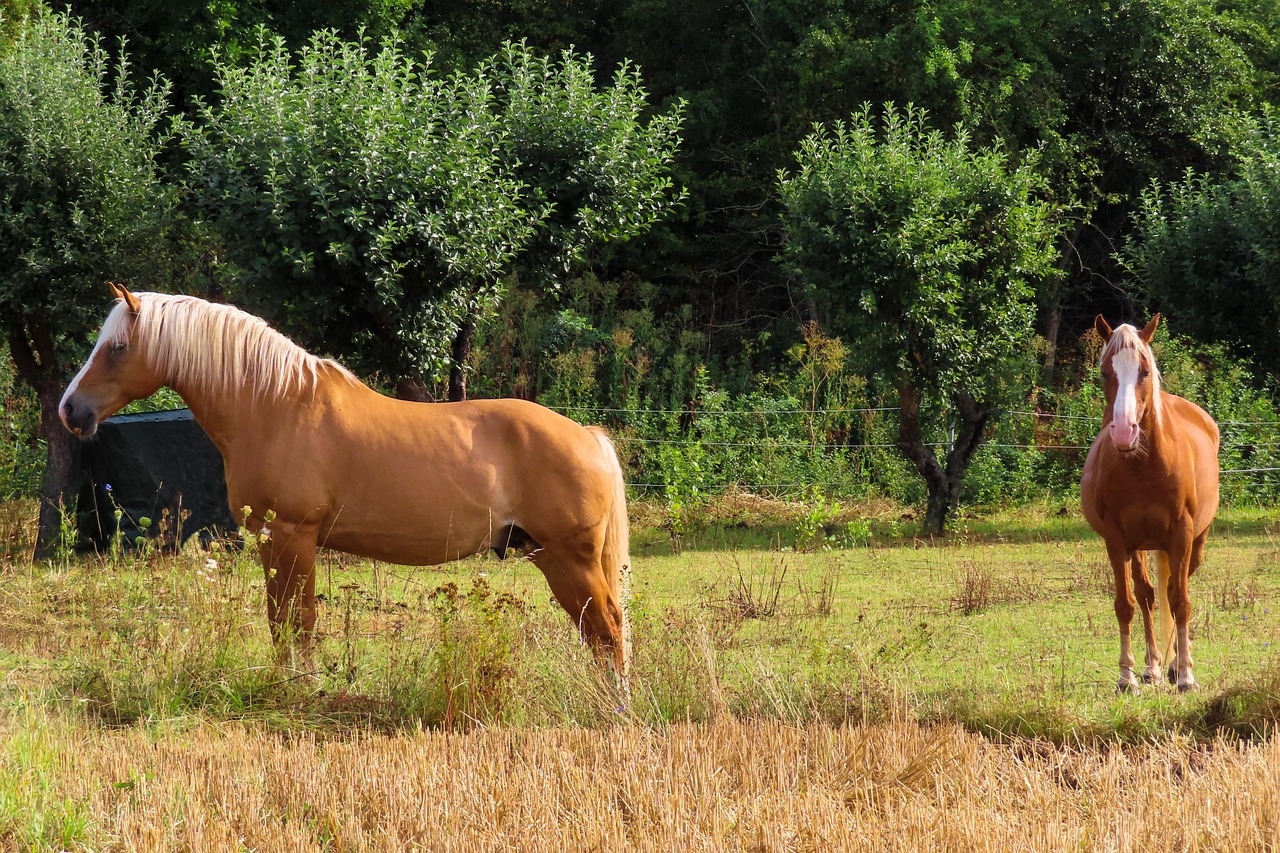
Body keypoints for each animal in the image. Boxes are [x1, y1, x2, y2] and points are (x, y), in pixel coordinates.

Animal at [60, 283, 632, 675]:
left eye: (117, 347)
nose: (71, 410)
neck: (276, 405)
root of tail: (587, 436)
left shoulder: (294, 536)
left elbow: (300, 621)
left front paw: (301, 687)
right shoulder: (271, 540)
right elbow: (281, 621)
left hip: (570, 555)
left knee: (607, 627)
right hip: (546, 554)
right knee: (595, 631)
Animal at [1080, 314, 1219, 693]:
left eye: (1144, 371)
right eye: (1104, 373)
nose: (1124, 431)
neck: (1143, 464)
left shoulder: (1182, 534)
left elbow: (1181, 602)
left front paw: (1185, 675)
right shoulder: (1116, 539)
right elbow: (1126, 604)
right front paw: (1127, 676)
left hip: (1194, 543)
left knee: (1174, 591)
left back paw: (1174, 666)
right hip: (1139, 547)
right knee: (1147, 596)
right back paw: (1153, 668)